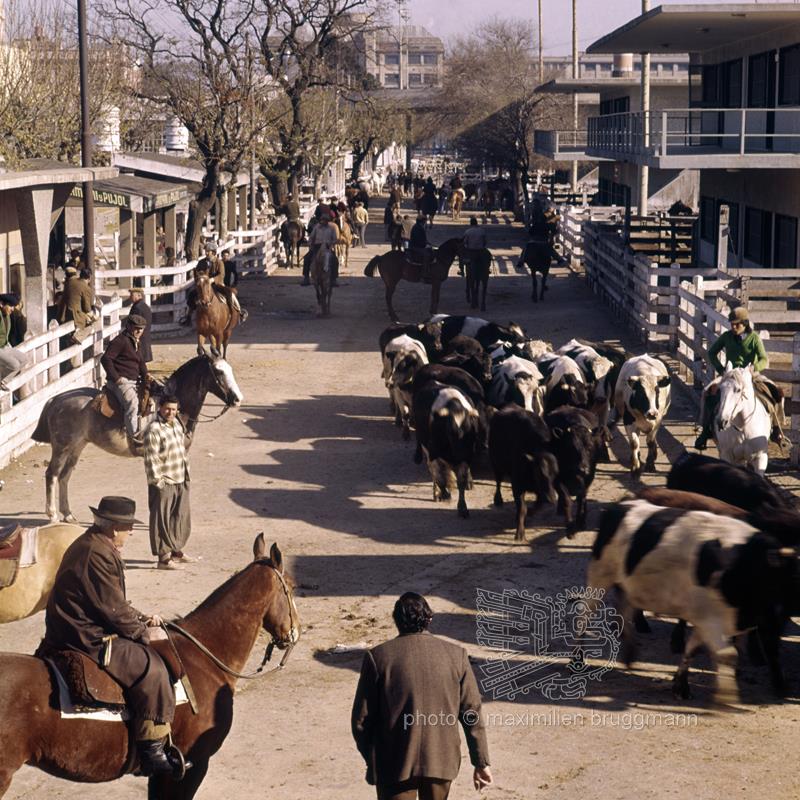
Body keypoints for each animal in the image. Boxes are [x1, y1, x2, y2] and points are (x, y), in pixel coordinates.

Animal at [30, 354, 244, 520]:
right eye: (219, 372)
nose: (237, 399)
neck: (174, 409)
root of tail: (56, 399)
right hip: (62, 447)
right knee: (52, 474)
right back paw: (52, 515)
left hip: (77, 446)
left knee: (64, 476)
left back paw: (67, 514)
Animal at [412, 382, 482, 520]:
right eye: (450, 432)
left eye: (470, 431)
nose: (461, 455)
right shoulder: (432, 454)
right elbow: (439, 477)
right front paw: (443, 493)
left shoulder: (466, 458)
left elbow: (461, 481)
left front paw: (462, 508)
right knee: (435, 473)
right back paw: (438, 493)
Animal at [488, 406, 556, 544]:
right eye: (540, 473)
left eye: (556, 474)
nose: (552, 499)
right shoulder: (517, 485)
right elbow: (522, 509)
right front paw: (519, 534)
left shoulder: (540, 491)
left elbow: (538, 504)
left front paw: (530, 513)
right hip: (495, 462)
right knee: (498, 481)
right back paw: (498, 500)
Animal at [588, 496, 800, 704]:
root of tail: (620, 505)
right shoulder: (712, 620)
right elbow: (729, 654)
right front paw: (725, 697)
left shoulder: (708, 618)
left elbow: (693, 650)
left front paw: (680, 685)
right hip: (599, 577)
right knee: (586, 614)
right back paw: (582, 658)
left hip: (628, 585)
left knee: (624, 610)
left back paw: (630, 654)